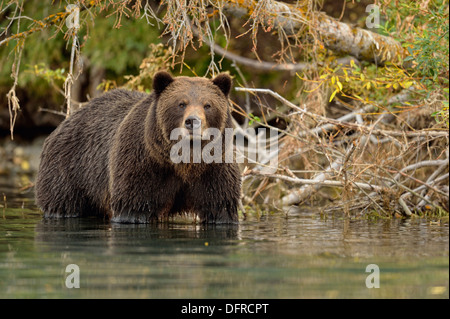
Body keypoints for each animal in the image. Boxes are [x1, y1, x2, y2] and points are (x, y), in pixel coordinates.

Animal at [34, 71, 241, 224]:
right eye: (181, 103)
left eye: (208, 105)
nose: (192, 121)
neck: (186, 161)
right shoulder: (143, 164)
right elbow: (134, 206)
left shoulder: (214, 169)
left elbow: (220, 207)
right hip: (70, 169)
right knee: (63, 201)